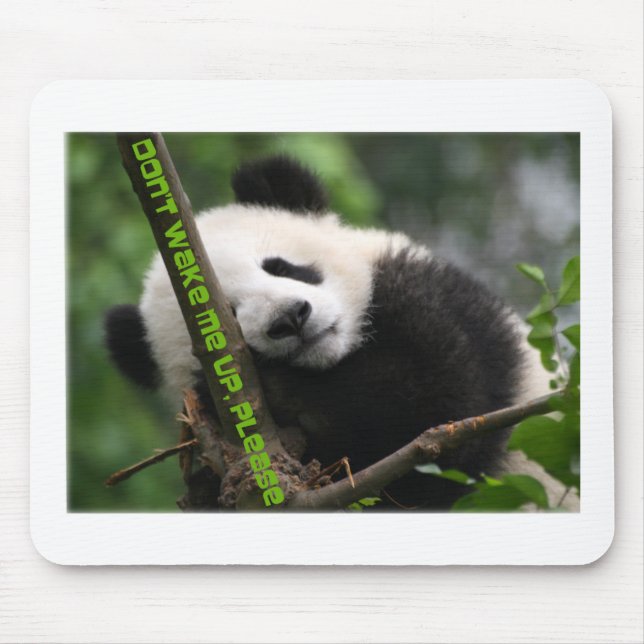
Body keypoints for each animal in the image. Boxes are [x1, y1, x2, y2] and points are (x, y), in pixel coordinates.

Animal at [106, 155, 572, 510]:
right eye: (223, 322)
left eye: (280, 266)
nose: (291, 319)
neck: (332, 362)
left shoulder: (446, 307)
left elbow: (438, 405)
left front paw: (282, 390)